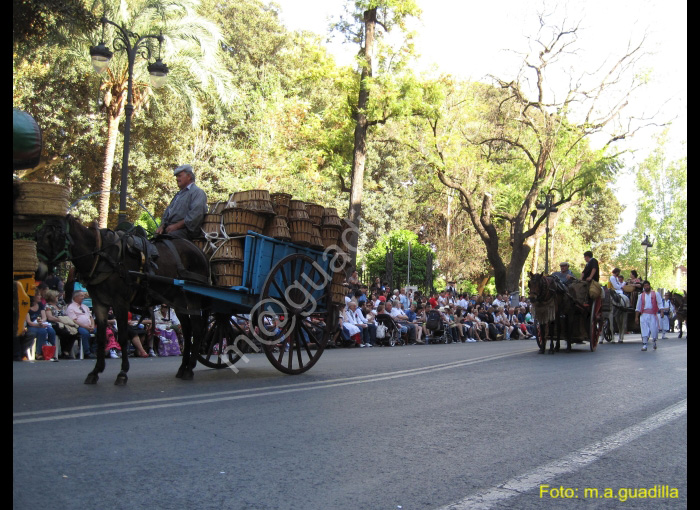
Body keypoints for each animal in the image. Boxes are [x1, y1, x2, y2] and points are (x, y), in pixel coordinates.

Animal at [35, 213, 209, 384]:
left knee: (197, 329)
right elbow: (101, 337)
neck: (102, 257)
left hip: (193, 297)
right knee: (187, 330)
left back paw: (190, 367)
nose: (38, 272)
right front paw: (95, 371)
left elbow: (124, 336)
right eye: (39, 235)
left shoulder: (121, 302)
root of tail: (198, 250)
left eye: (51, 235)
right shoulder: (100, 303)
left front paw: (122, 372)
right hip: (178, 300)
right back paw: (183, 367)